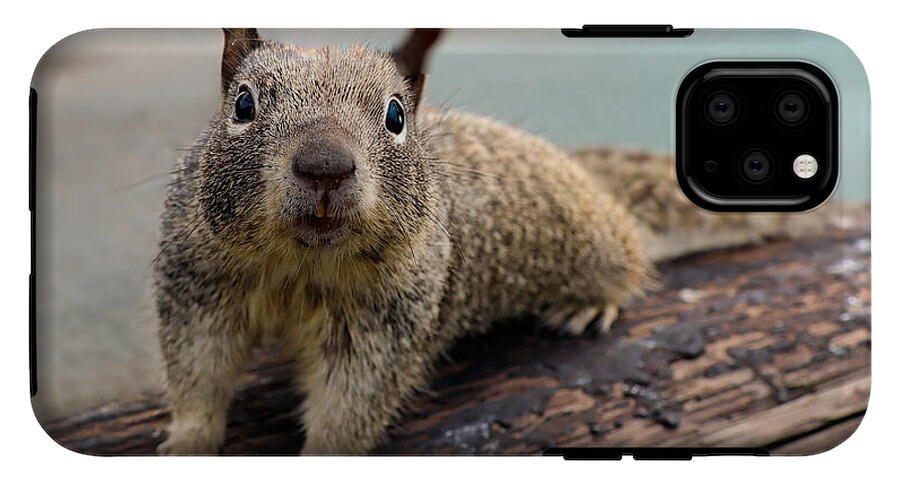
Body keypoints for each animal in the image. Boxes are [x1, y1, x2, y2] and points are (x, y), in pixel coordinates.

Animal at [155, 29, 831, 455]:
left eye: (396, 116)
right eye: (243, 104)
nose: (325, 165)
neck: (302, 264)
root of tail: (587, 175)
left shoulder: (386, 322)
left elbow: (351, 405)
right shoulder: (199, 285)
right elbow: (198, 372)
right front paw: (186, 444)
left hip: (597, 239)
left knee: (630, 253)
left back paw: (591, 301)